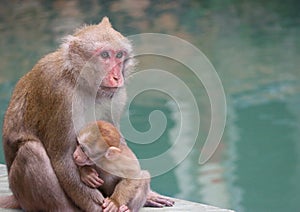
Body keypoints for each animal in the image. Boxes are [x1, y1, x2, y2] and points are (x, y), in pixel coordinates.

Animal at [0, 17, 173, 211]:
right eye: (104, 55)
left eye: (119, 55)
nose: (117, 77)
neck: (78, 78)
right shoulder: (61, 95)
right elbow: (62, 159)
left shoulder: (117, 97)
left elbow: (119, 145)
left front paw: (148, 194)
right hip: (23, 194)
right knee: (31, 151)